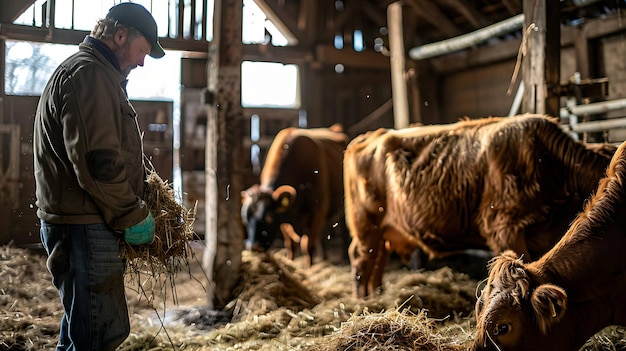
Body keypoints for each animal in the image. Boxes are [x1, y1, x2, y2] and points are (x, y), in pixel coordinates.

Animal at [239, 125, 346, 268]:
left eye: (268, 218)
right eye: (245, 219)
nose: (254, 247)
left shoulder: (318, 211)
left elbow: (307, 246)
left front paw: (308, 269)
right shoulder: (284, 216)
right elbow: (291, 245)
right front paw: (290, 263)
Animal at [346, 115, 616, 300]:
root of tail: (370, 136)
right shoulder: (504, 228)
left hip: (381, 230)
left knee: (378, 258)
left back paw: (376, 296)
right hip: (366, 223)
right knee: (361, 258)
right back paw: (363, 303)